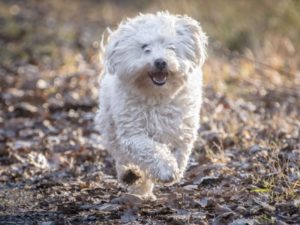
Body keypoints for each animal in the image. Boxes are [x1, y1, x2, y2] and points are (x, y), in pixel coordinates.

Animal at [96, 11, 206, 200]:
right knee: (122, 155)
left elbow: (179, 152)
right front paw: (166, 169)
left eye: (171, 47)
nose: (160, 62)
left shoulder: (182, 130)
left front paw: (173, 168)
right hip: (110, 127)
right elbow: (150, 149)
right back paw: (132, 177)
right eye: (145, 47)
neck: (156, 96)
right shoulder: (133, 133)